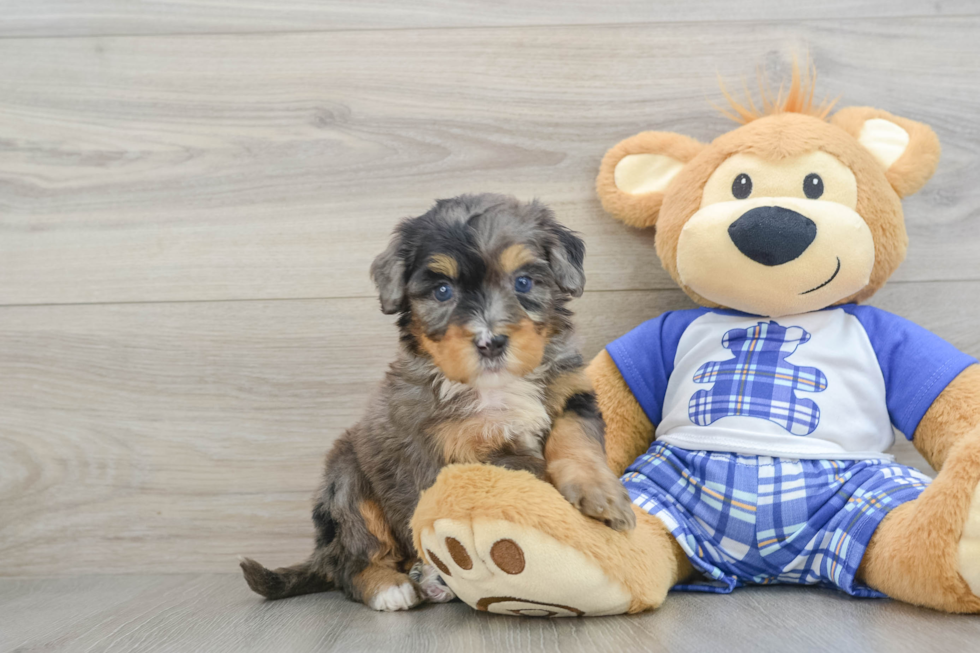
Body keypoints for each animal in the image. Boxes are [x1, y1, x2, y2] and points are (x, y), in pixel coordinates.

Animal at [241, 194, 632, 612]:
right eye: (443, 291)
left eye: (523, 282)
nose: (490, 342)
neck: (496, 385)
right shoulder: (450, 451)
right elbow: (514, 473)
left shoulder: (571, 391)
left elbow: (577, 442)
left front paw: (601, 495)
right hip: (347, 484)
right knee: (354, 560)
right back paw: (393, 586)